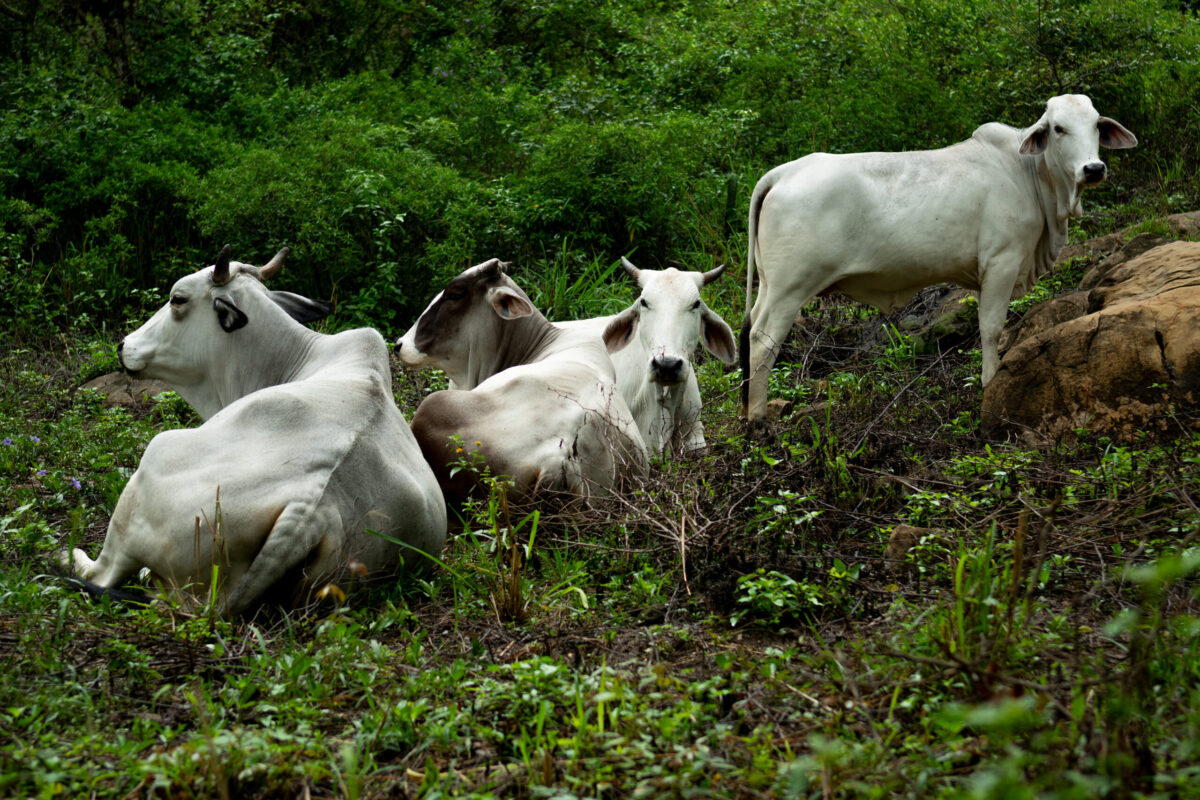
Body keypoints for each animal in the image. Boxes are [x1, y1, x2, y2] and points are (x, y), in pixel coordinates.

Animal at [62, 247, 446, 618]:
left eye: (177, 299)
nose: (123, 345)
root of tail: (309, 509)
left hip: (153, 462)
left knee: (104, 573)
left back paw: (73, 557)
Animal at [739, 92, 1132, 424]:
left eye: (1096, 125)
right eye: (1058, 128)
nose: (1093, 169)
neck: (1029, 176)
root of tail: (784, 171)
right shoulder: (1001, 262)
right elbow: (991, 327)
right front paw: (990, 381)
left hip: (770, 285)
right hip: (790, 288)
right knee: (762, 339)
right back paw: (758, 418)